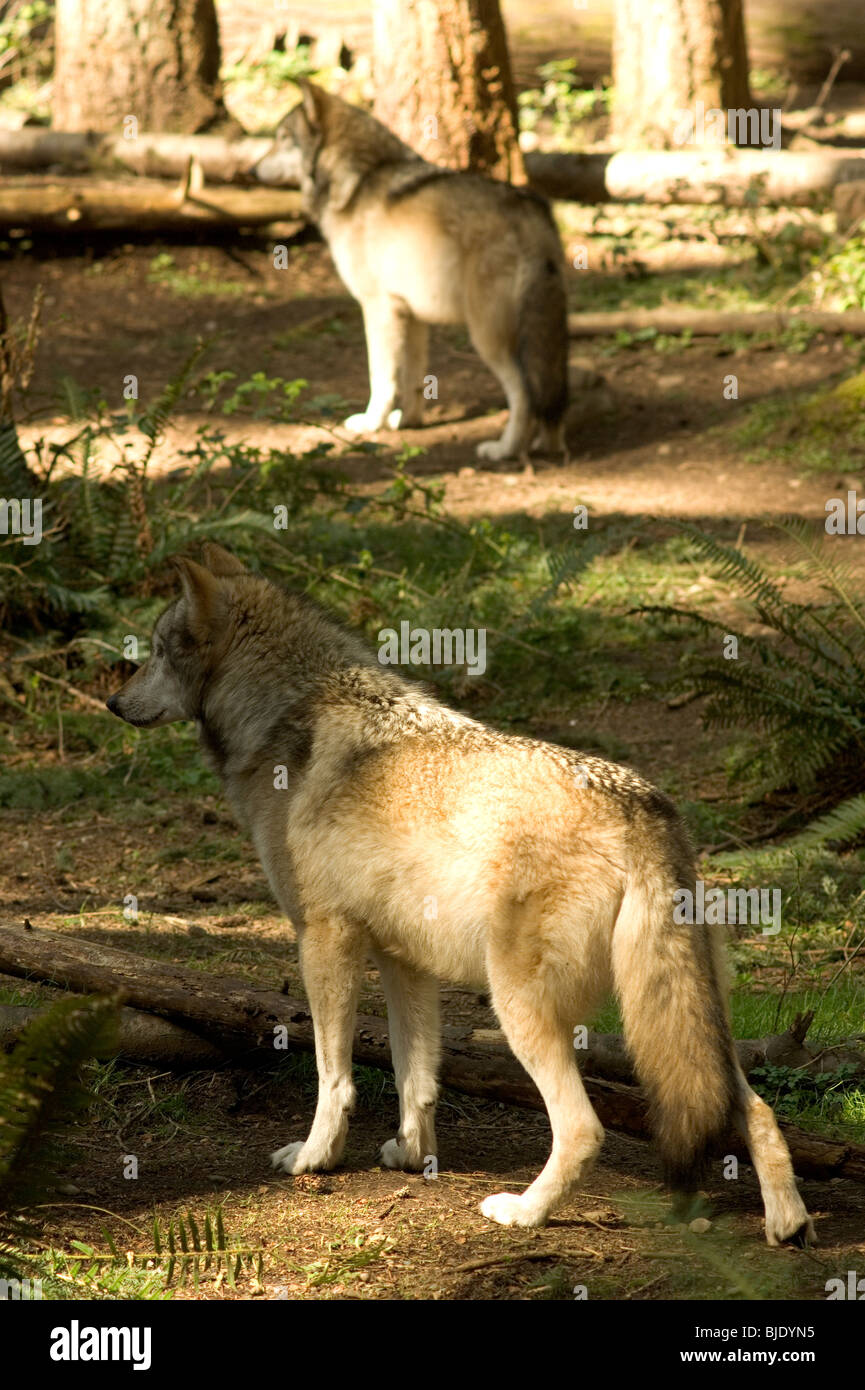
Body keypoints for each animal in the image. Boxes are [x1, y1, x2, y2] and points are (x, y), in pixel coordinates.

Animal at [106, 545, 813, 1244]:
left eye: (160, 650)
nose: (113, 701)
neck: (285, 714)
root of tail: (643, 808)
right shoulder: (403, 960)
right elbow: (415, 1076)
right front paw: (412, 1156)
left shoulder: (323, 939)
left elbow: (333, 1076)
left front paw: (314, 1158)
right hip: (689, 1022)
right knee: (754, 1107)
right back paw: (788, 1223)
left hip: (521, 1009)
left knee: (584, 1129)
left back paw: (523, 1212)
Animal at [253, 80, 569, 462]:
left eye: (283, 138)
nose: (251, 171)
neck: (358, 180)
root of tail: (532, 212)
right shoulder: (413, 314)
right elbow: (414, 380)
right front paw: (408, 423)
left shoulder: (377, 308)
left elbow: (382, 377)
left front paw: (372, 423)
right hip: (543, 332)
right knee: (552, 394)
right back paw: (548, 446)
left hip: (487, 337)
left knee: (523, 394)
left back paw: (504, 449)